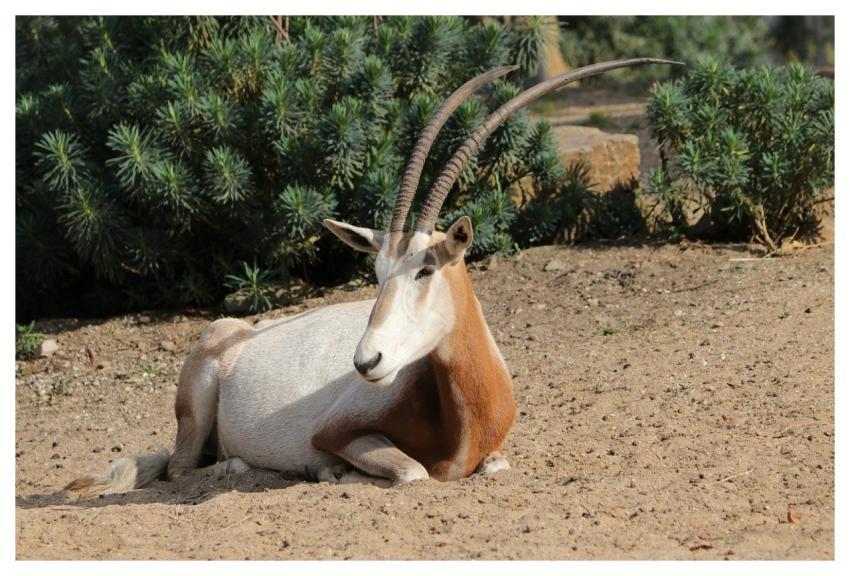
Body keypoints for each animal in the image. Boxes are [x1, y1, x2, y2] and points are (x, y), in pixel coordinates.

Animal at [66, 58, 678, 493]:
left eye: (425, 268)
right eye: (377, 271)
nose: (366, 363)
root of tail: (232, 331)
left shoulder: (495, 455)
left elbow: (492, 466)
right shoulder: (335, 432)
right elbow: (411, 470)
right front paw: (330, 472)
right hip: (194, 417)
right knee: (181, 469)